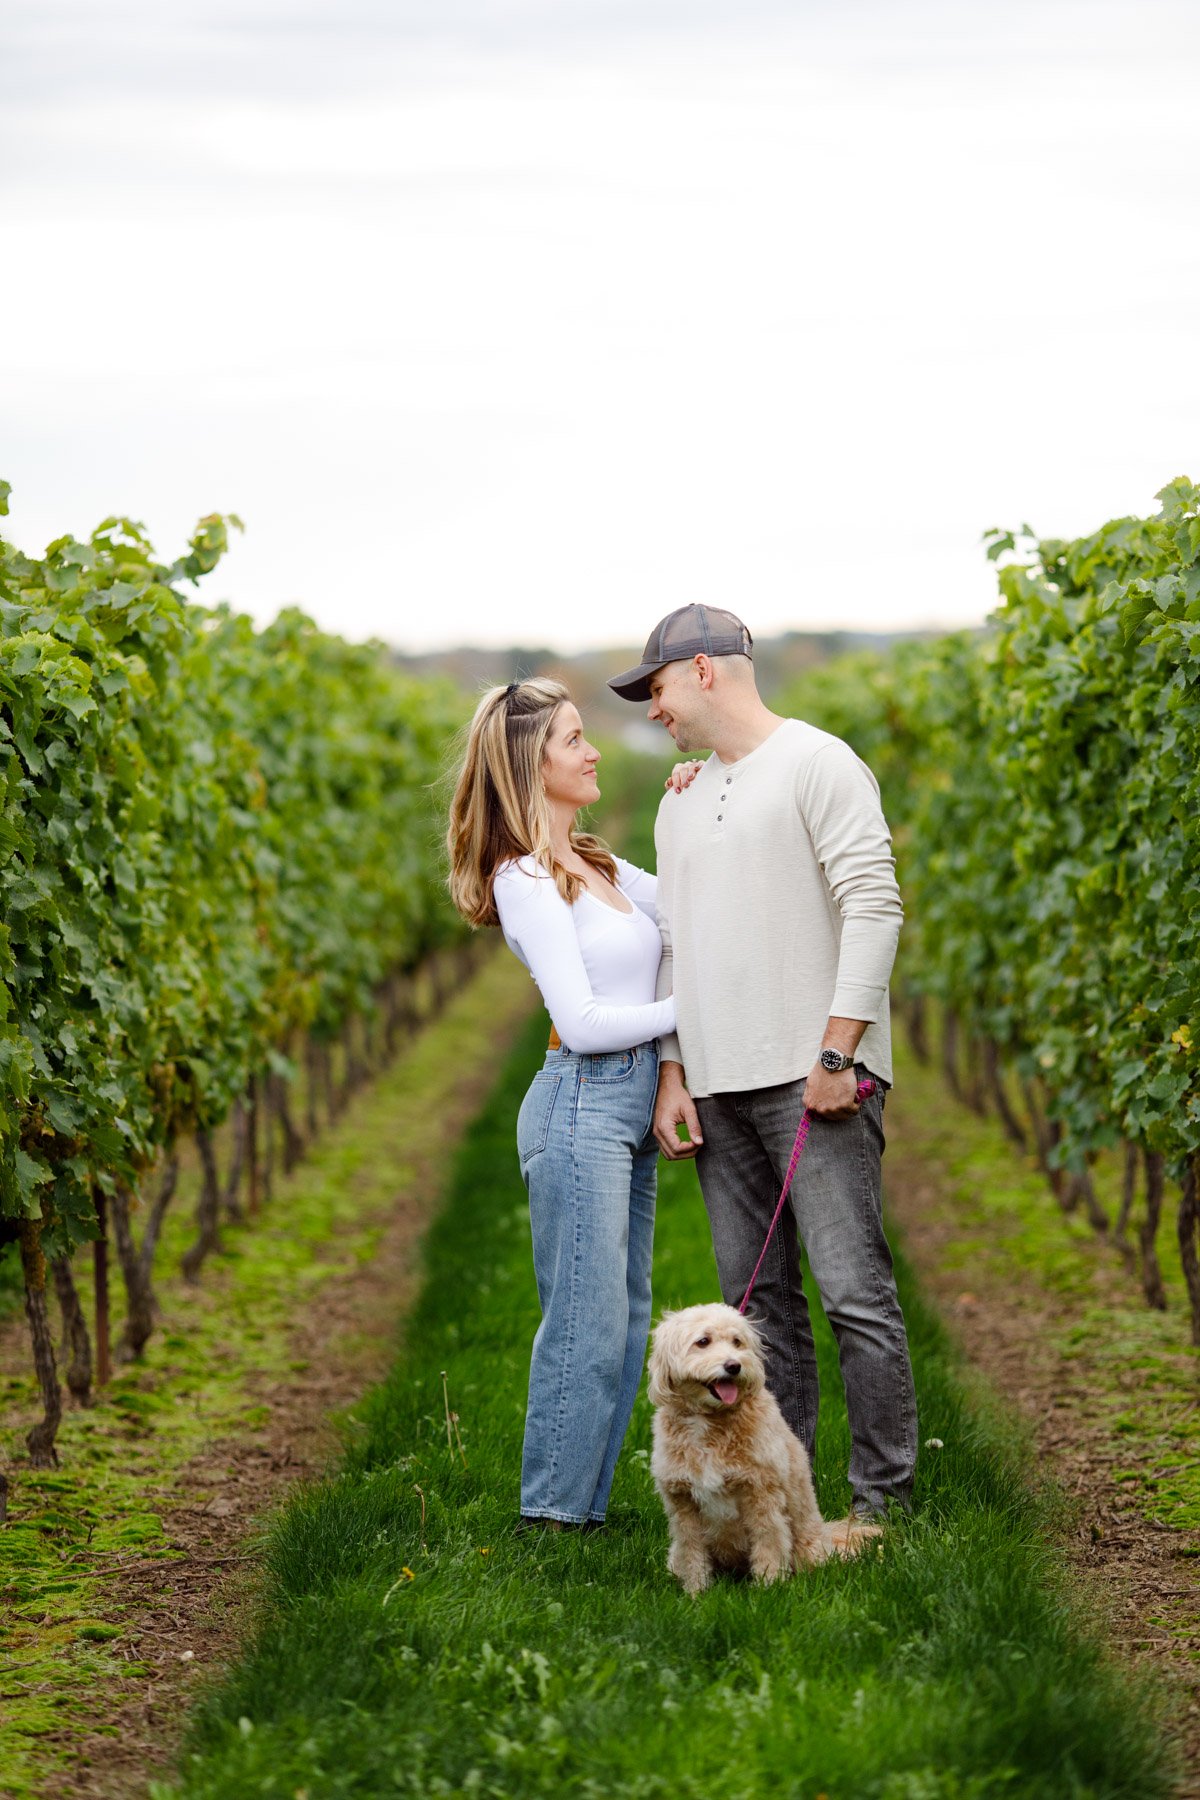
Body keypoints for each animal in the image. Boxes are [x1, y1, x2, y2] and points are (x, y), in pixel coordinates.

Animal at [647, 1310, 881, 1591]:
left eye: (737, 1342)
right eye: (703, 1341)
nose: (734, 1366)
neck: (709, 1422)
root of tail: (827, 1536)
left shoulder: (762, 1496)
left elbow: (768, 1544)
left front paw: (768, 1588)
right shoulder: (683, 1506)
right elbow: (693, 1554)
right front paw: (697, 1592)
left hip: (807, 1549)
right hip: (675, 1556)